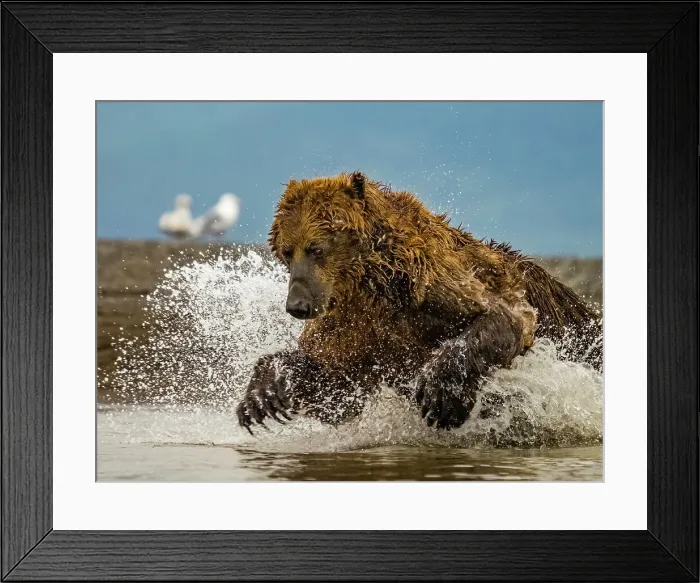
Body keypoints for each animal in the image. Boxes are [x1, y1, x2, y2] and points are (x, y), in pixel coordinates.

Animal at [235, 171, 602, 434]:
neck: (372, 282)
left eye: (317, 248)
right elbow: (336, 385)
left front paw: (439, 397)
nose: (297, 305)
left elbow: (506, 318)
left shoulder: (434, 287)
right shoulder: (356, 329)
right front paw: (262, 396)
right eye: (286, 251)